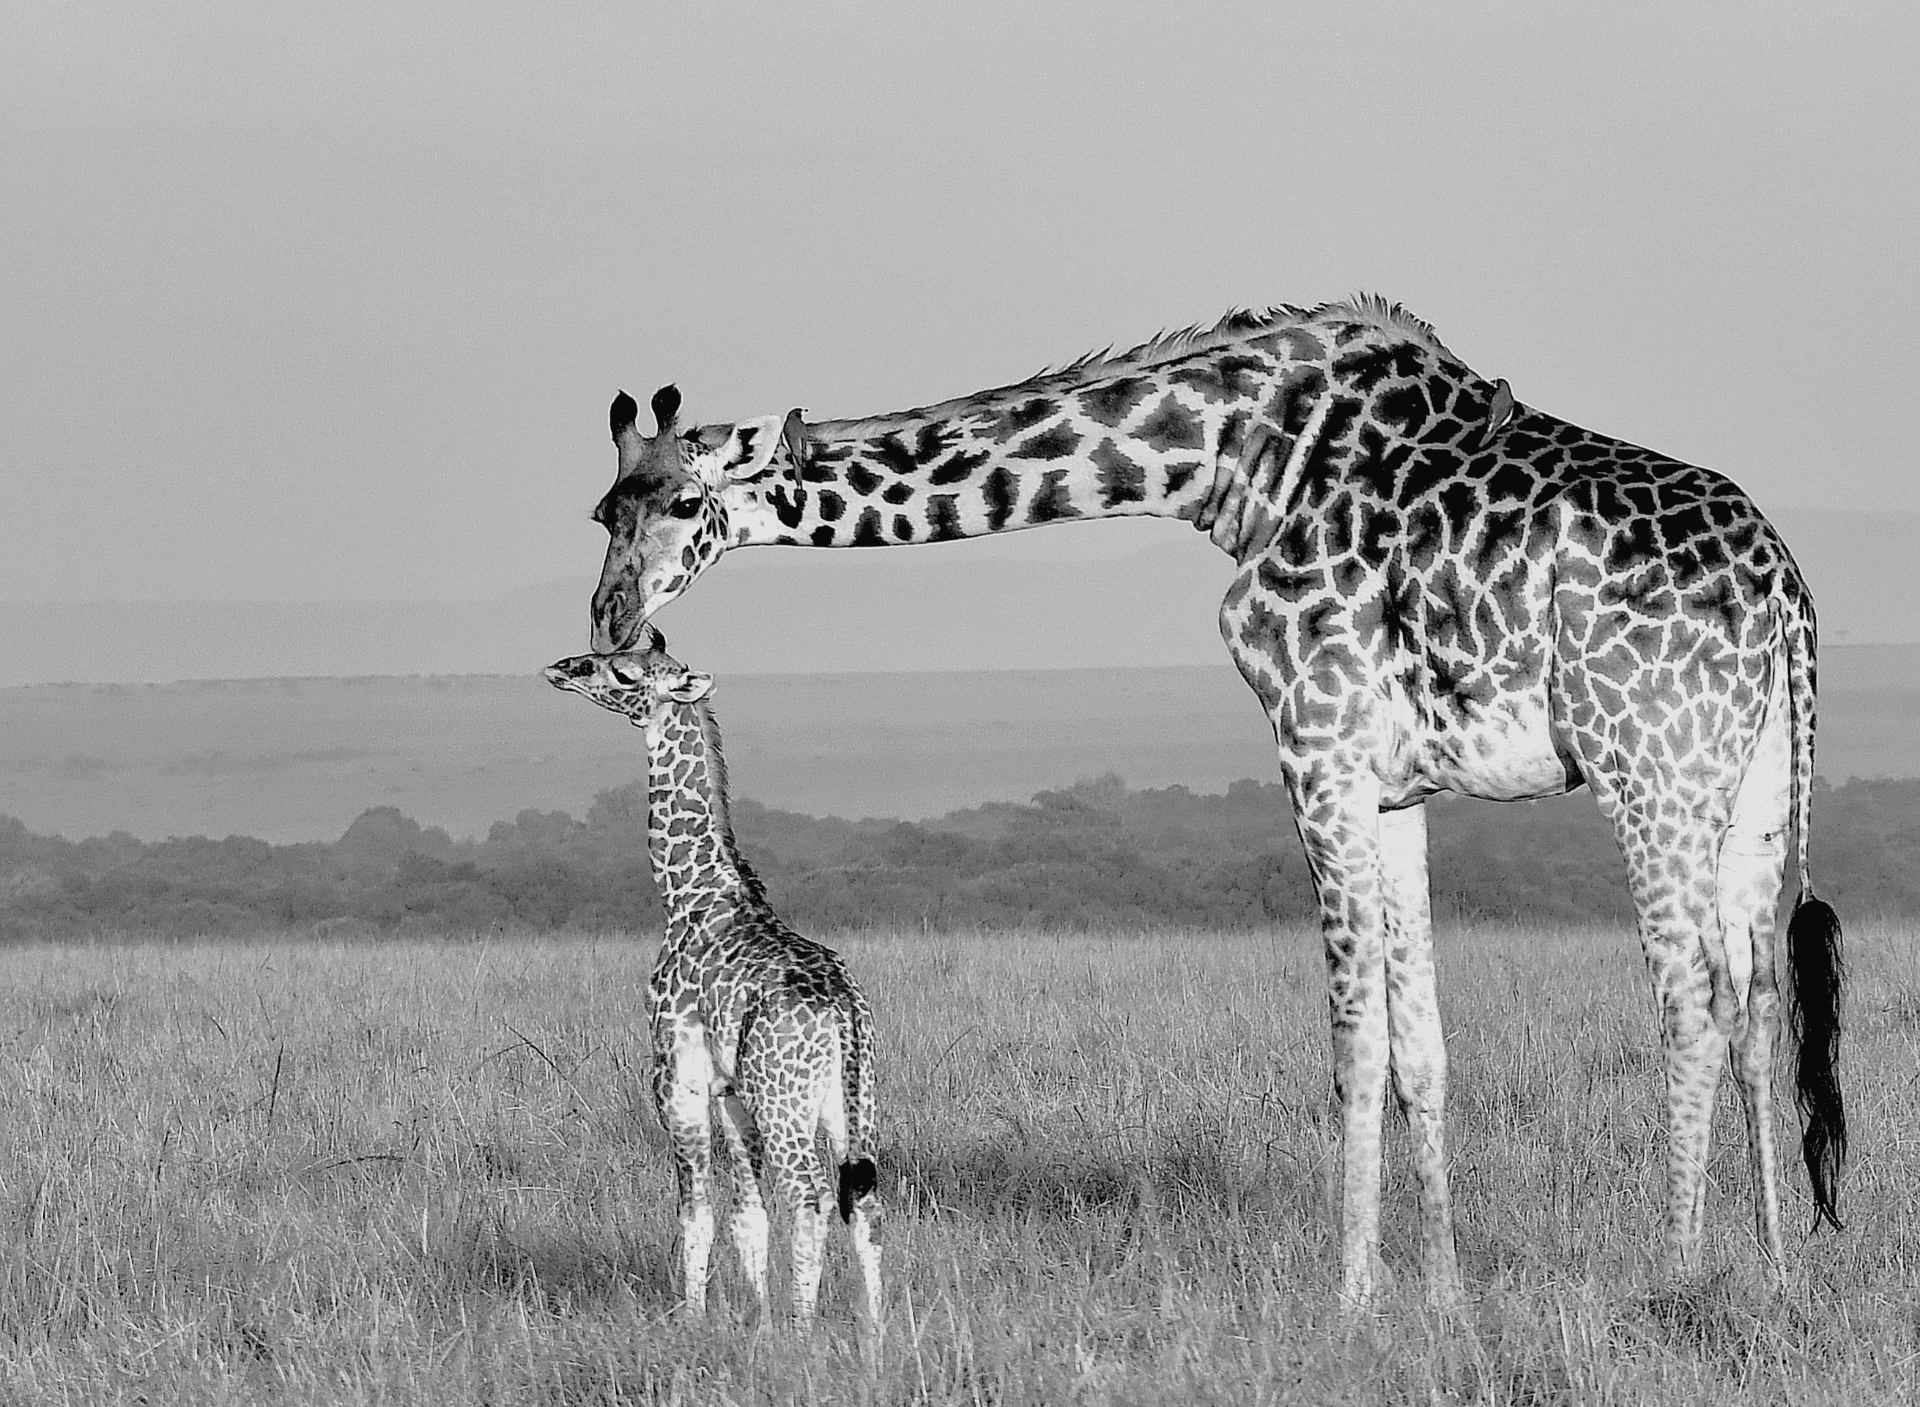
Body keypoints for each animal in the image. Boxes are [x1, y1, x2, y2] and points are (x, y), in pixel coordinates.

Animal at [545, 631, 883, 1346]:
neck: (690, 895)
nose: (562, 668)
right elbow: (747, 1214)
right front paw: (757, 1322)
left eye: (623, 671)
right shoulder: (732, 1094)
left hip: (786, 1102)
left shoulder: (678, 1077)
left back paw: (804, 1332)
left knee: (811, 1198)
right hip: (852, 1102)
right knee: (860, 1198)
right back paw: (879, 1335)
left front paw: (694, 1320)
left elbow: (695, 1206)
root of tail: (843, 1014)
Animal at [582, 297, 1845, 1310]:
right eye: (605, 510)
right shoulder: (1394, 786)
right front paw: (1442, 1294)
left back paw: (1676, 1271)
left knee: (1690, 1000)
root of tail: (1783, 589)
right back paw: (1778, 1268)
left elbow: (1355, 1043)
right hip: (1750, 786)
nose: (612, 621)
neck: (1236, 458)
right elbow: (1424, 1047)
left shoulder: (1314, 744)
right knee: (1761, 997)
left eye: (685, 500)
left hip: (1647, 769)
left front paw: (1351, 1298)